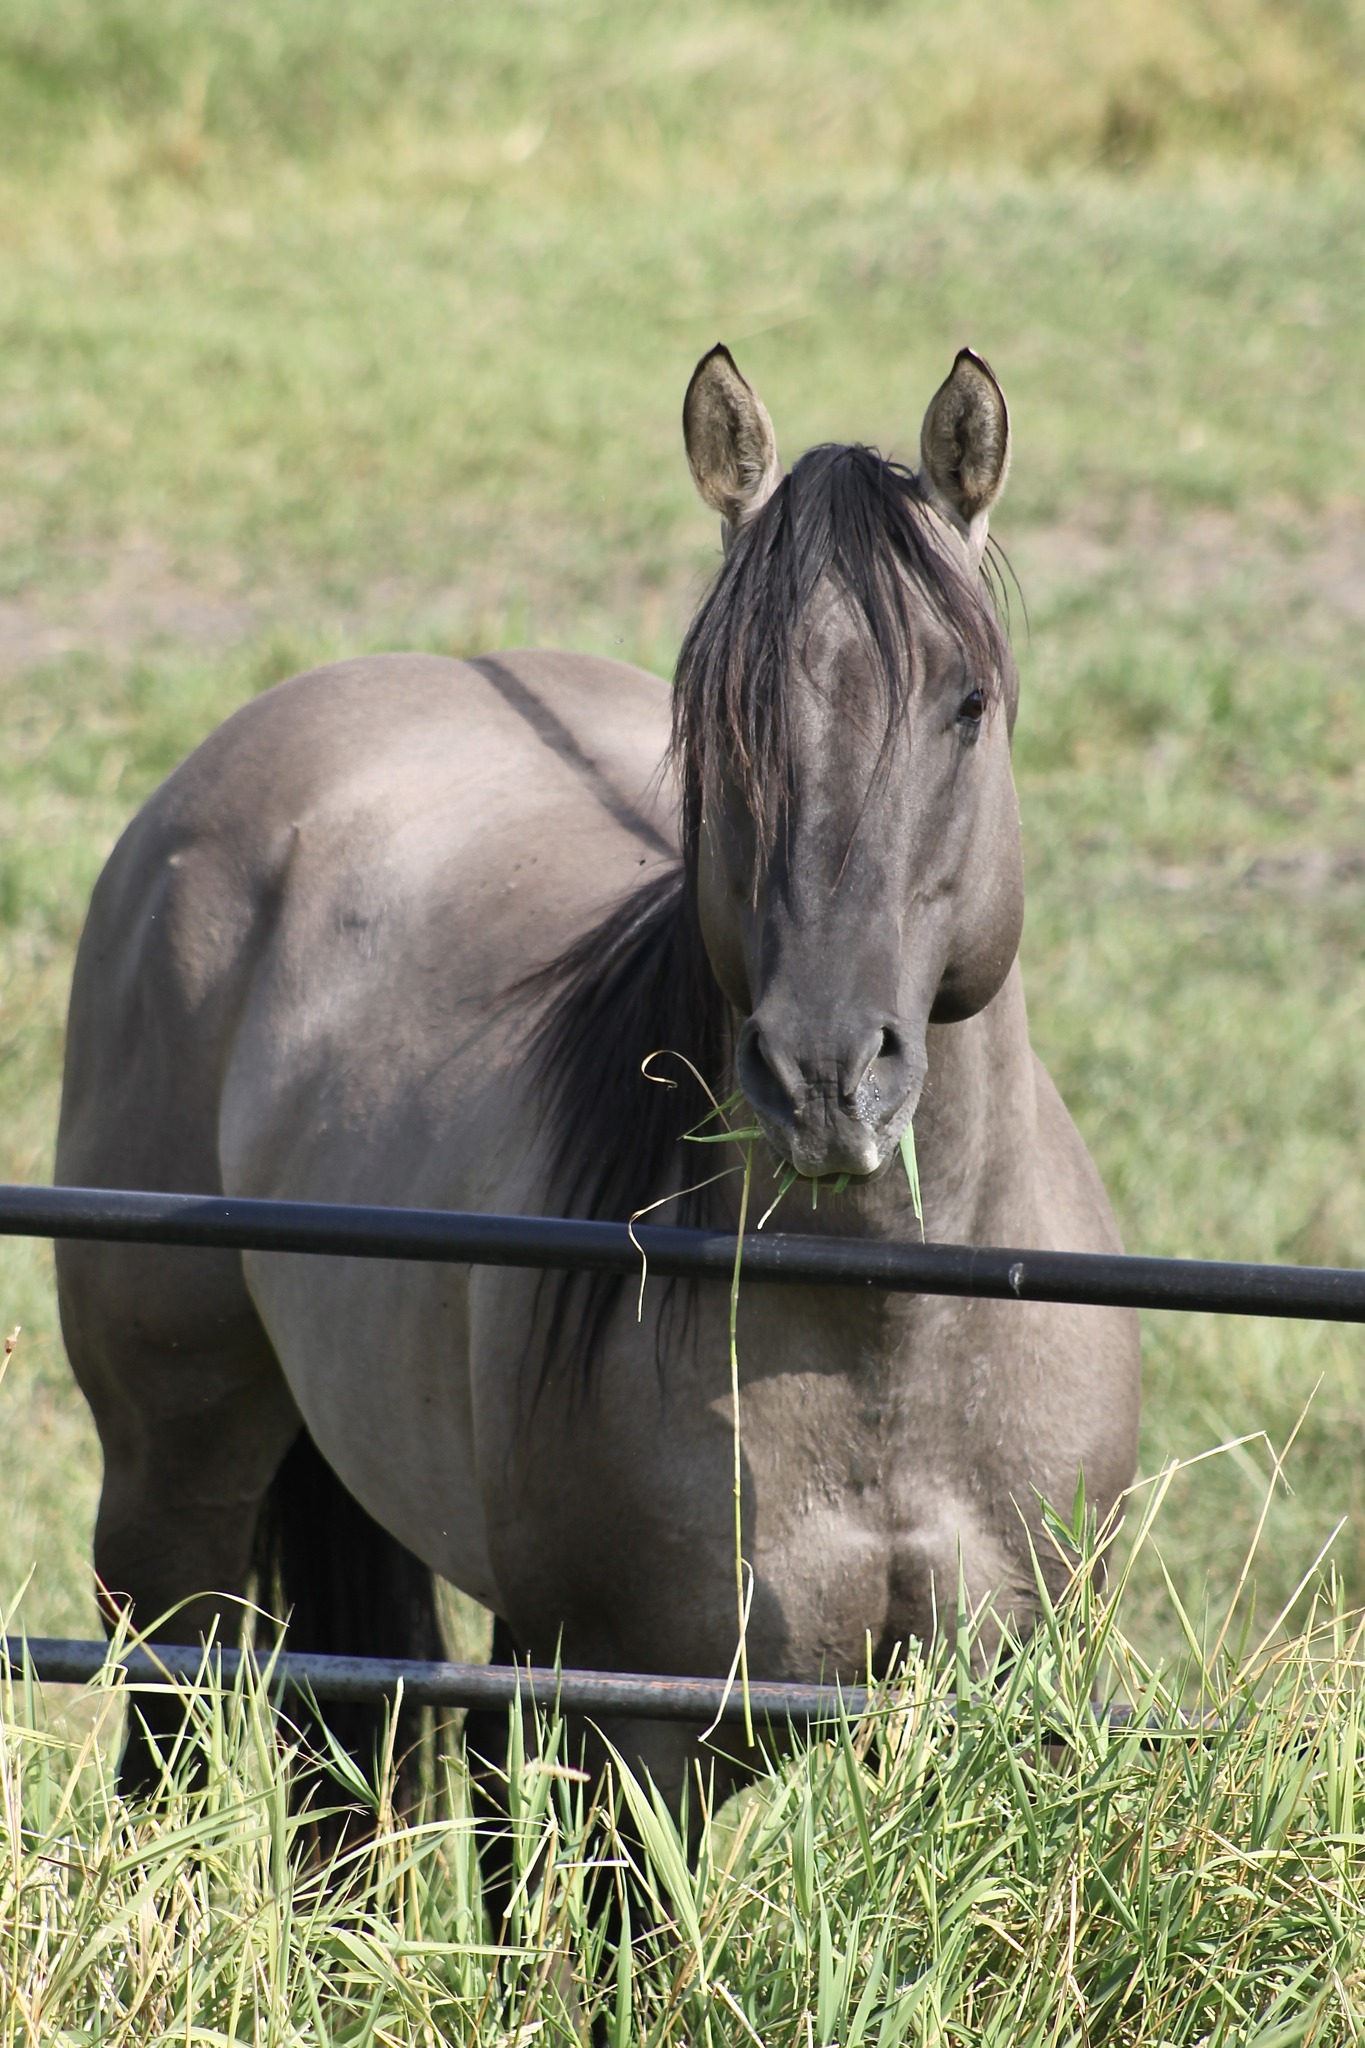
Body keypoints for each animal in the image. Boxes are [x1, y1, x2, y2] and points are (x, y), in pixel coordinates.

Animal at [54, 343, 1140, 1829]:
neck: (886, 1332)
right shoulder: (637, 1744)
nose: (823, 1075)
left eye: (965, 705)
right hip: (175, 1515)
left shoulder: (1022, 1718)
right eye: (723, 716)